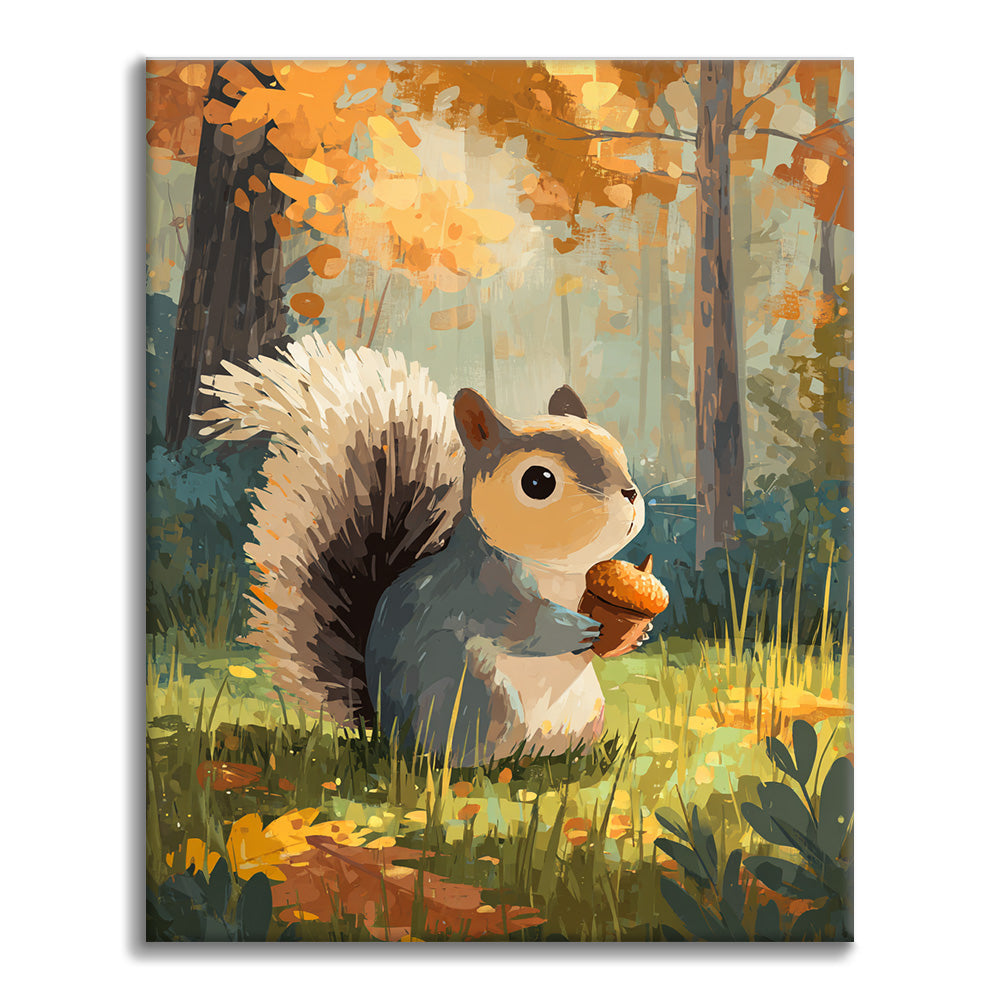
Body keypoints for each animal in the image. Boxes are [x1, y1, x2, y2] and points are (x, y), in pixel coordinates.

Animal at [198, 334, 646, 766]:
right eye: (538, 482)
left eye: (619, 451)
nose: (630, 493)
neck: (557, 570)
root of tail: (387, 734)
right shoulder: (481, 590)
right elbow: (521, 623)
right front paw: (575, 628)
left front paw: (632, 636)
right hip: (479, 700)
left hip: (584, 715)